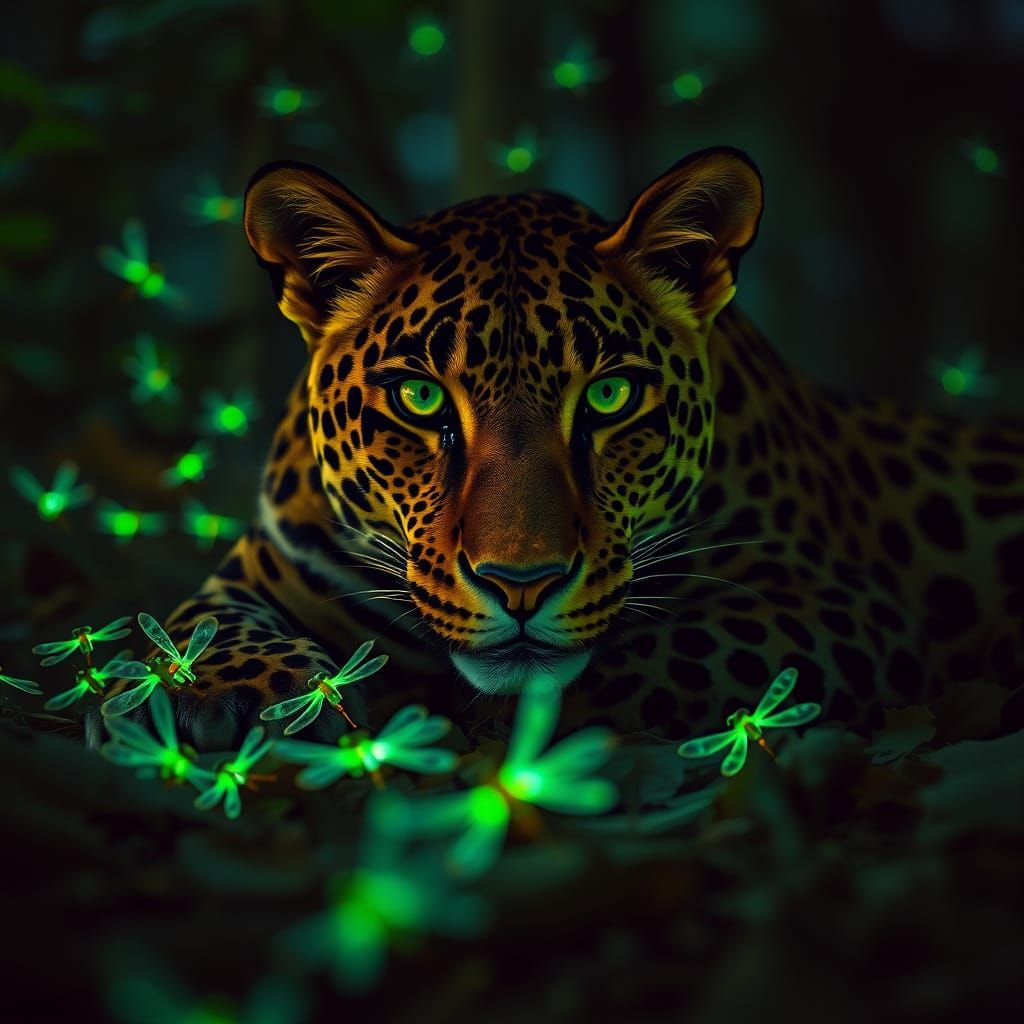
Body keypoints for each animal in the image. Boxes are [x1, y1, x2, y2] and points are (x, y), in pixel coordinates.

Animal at [113, 146, 1024, 753]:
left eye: (610, 397)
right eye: (420, 399)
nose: (522, 585)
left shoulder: (838, 600)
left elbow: (655, 655)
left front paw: (491, 722)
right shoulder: (260, 570)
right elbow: (200, 629)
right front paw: (244, 693)